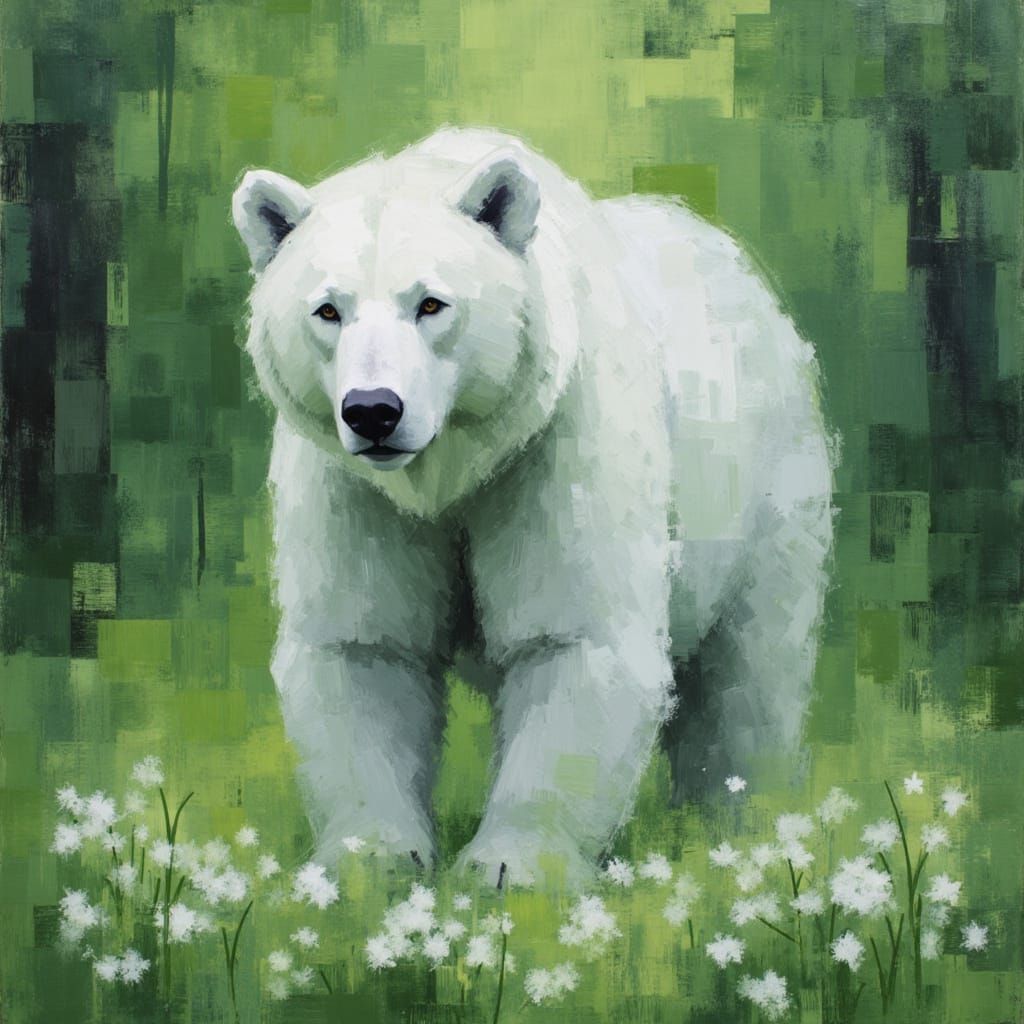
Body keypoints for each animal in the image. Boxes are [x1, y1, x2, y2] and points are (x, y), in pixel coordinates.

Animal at [231, 126, 833, 889]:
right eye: (327, 309)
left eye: (431, 304)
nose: (373, 411)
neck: (449, 471)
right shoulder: (355, 493)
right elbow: (365, 645)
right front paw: (372, 859)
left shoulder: (554, 446)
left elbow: (570, 635)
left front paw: (510, 868)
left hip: (765, 487)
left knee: (750, 672)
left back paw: (737, 820)